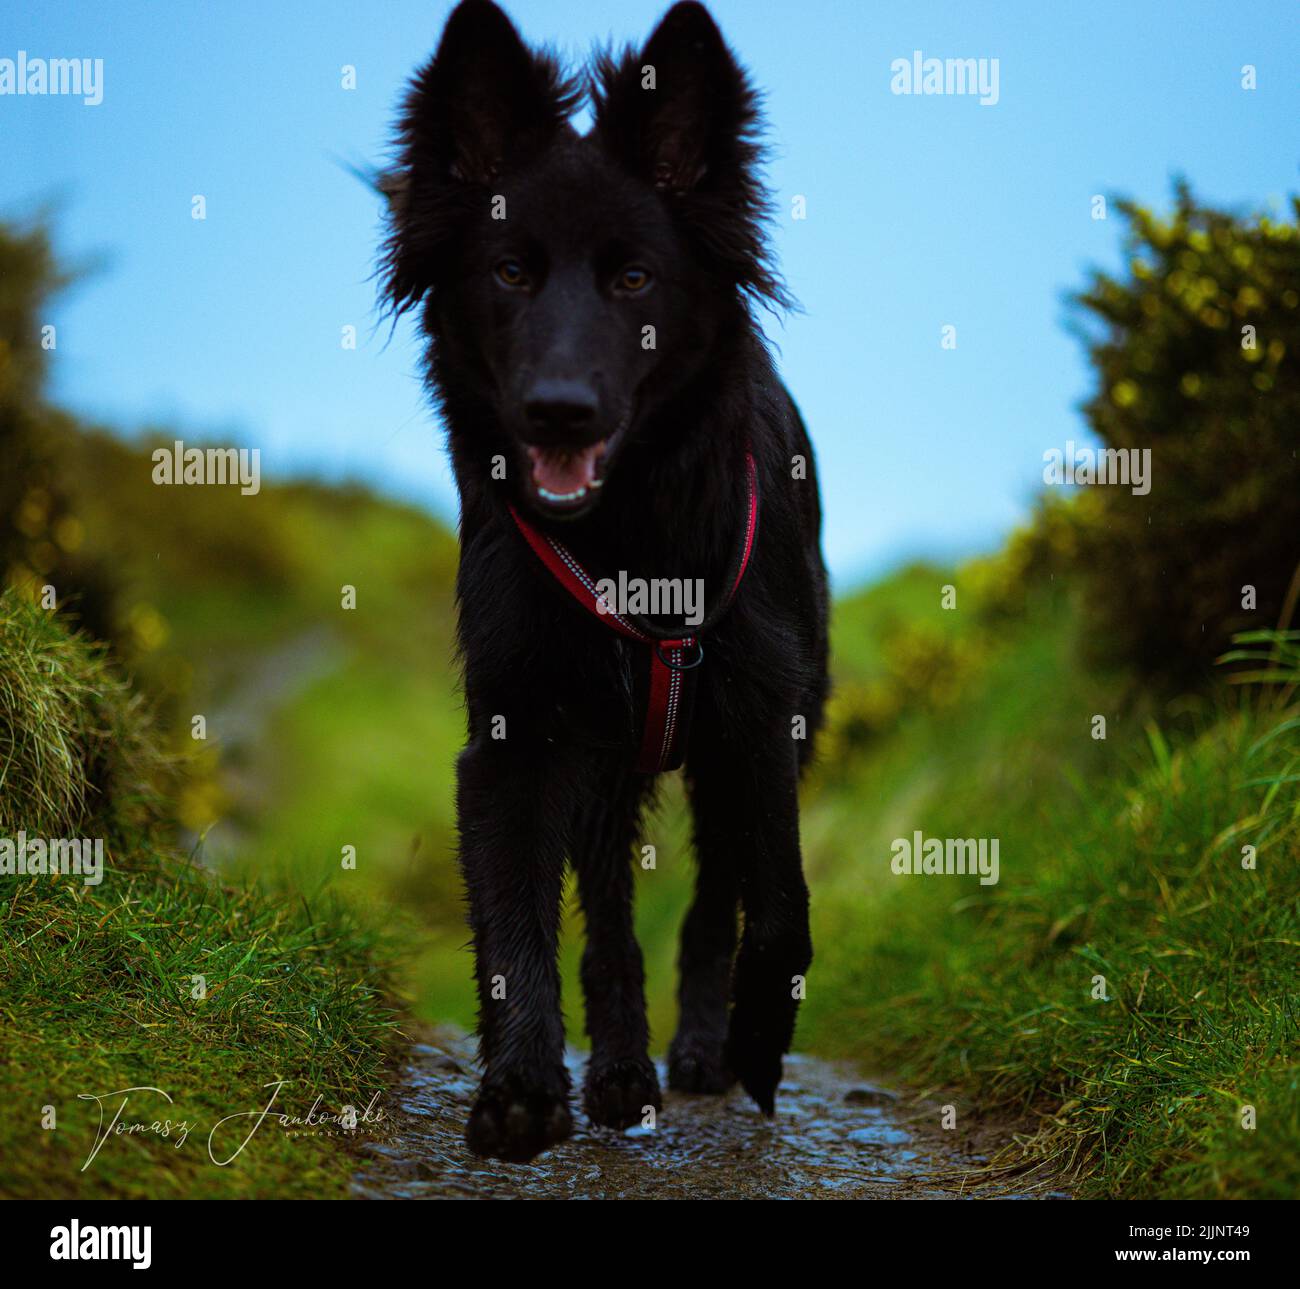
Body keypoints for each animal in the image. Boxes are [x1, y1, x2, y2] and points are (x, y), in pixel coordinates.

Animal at [379, 0, 826, 1164]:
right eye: (509, 273)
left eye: (634, 280)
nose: (558, 410)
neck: (630, 539)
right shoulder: (515, 734)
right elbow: (514, 924)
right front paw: (522, 1088)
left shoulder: (761, 716)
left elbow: (780, 903)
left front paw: (757, 1042)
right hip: (607, 762)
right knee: (615, 917)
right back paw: (621, 1071)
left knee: (716, 897)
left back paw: (705, 1050)